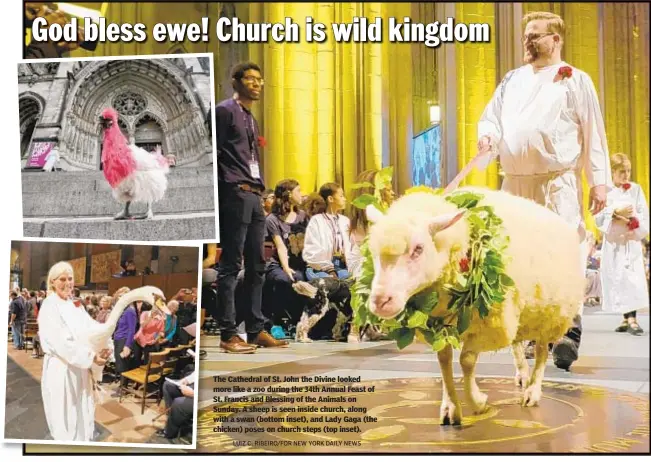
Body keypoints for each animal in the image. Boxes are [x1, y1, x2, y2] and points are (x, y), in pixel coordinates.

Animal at [366, 188, 584, 426]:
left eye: (418, 249)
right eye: (373, 251)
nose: (380, 301)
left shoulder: (490, 328)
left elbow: (466, 360)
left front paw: (478, 402)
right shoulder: (440, 327)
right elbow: (444, 361)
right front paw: (450, 407)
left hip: (552, 313)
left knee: (542, 351)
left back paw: (533, 391)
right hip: (519, 312)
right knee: (517, 344)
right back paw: (523, 374)